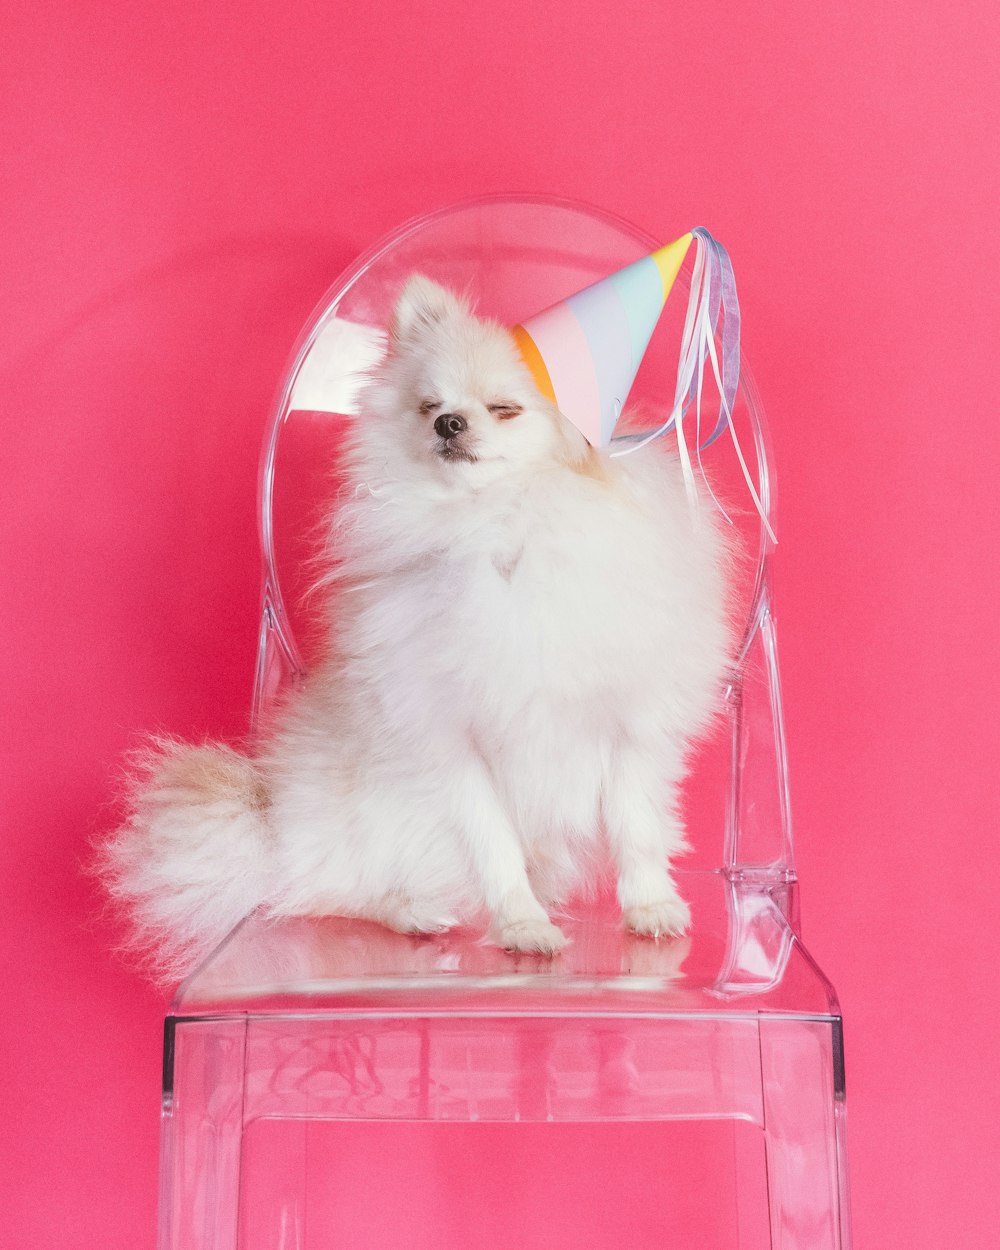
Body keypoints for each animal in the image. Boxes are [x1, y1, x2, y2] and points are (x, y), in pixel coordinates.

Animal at [103, 273, 735, 975]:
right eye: (429, 403)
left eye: (505, 408)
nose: (448, 422)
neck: (499, 526)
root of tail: (272, 828)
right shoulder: (450, 738)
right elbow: (495, 845)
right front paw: (521, 925)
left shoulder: (629, 726)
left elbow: (636, 827)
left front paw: (651, 907)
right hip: (368, 818)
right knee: (327, 890)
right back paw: (412, 910)